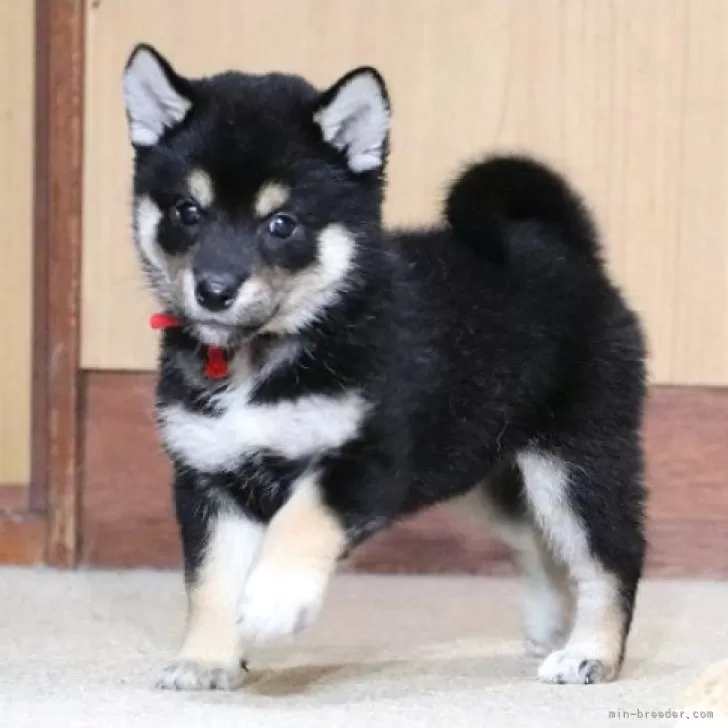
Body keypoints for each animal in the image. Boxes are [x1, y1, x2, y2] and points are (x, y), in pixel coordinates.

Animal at [122, 42, 644, 692]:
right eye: (188, 212)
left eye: (282, 223)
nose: (214, 290)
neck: (266, 354)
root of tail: (571, 252)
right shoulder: (212, 477)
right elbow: (210, 581)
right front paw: (207, 659)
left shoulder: (370, 457)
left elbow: (303, 518)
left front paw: (273, 598)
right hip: (480, 470)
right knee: (539, 544)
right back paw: (556, 627)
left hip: (573, 463)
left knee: (609, 557)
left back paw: (591, 651)